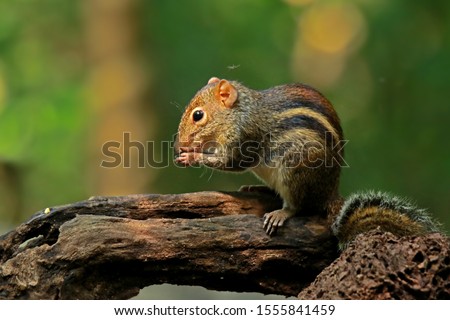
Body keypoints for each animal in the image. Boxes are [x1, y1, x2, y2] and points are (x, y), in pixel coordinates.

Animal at [174, 77, 442, 248]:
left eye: (198, 115)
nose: (178, 146)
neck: (239, 112)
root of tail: (331, 193)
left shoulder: (245, 137)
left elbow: (232, 162)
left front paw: (192, 155)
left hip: (296, 169)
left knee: (299, 205)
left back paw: (281, 213)